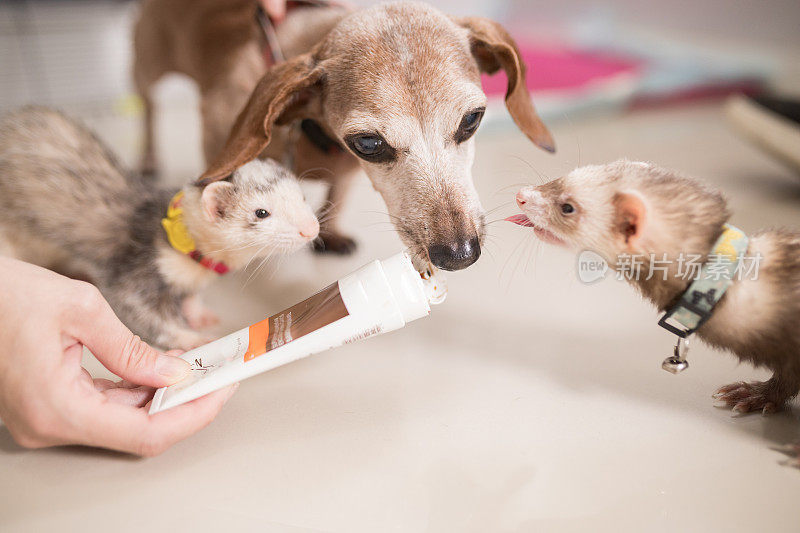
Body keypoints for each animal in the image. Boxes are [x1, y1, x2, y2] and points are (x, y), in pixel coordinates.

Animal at [134, 1, 552, 270]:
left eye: (472, 119)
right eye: (368, 143)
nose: (459, 255)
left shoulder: (347, 173)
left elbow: (336, 198)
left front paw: (330, 233)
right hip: (148, 67)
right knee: (148, 108)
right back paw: (148, 159)